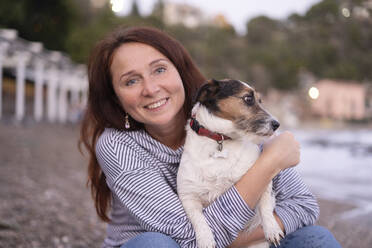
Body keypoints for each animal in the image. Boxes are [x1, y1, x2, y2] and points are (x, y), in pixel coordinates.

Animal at [177, 78, 282, 247]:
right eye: (248, 98)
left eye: (260, 100)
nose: (277, 124)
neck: (221, 139)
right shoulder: (188, 196)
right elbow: (198, 219)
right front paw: (205, 239)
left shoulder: (263, 178)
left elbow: (265, 205)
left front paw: (272, 228)